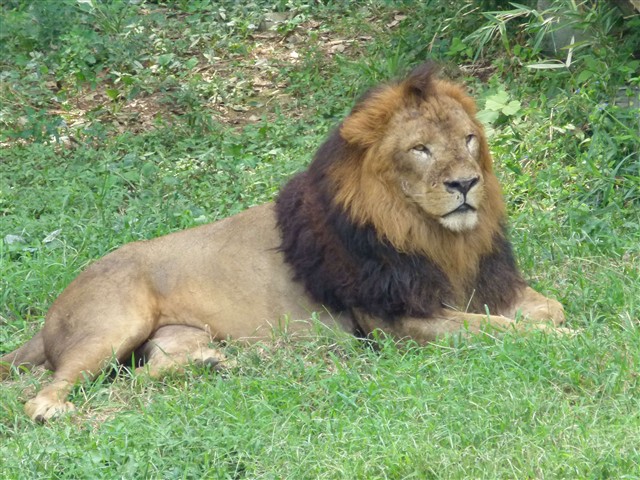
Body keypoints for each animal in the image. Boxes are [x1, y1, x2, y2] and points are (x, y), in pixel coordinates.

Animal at [0, 63, 564, 420]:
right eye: (420, 149)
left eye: (469, 139)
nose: (466, 184)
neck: (435, 237)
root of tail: (56, 305)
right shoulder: (398, 322)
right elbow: (499, 330)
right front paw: (562, 339)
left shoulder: (483, 284)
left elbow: (547, 309)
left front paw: (554, 324)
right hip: (114, 325)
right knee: (50, 391)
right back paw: (53, 409)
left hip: (177, 336)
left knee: (140, 375)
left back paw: (212, 364)